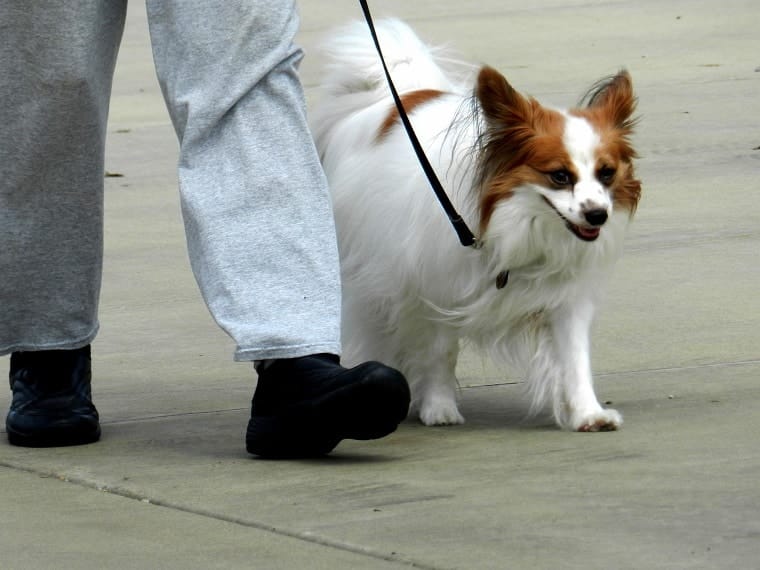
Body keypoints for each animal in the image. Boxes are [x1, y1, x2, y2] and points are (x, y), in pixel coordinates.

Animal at [310, 20, 640, 430]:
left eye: (606, 173)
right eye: (560, 176)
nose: (598, 215)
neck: (511, 223)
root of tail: (399, 95)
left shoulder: (566, 298)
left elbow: (575, 357)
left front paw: (588, 413)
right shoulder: (436, 289)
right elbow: (441, 352)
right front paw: (438, 407)